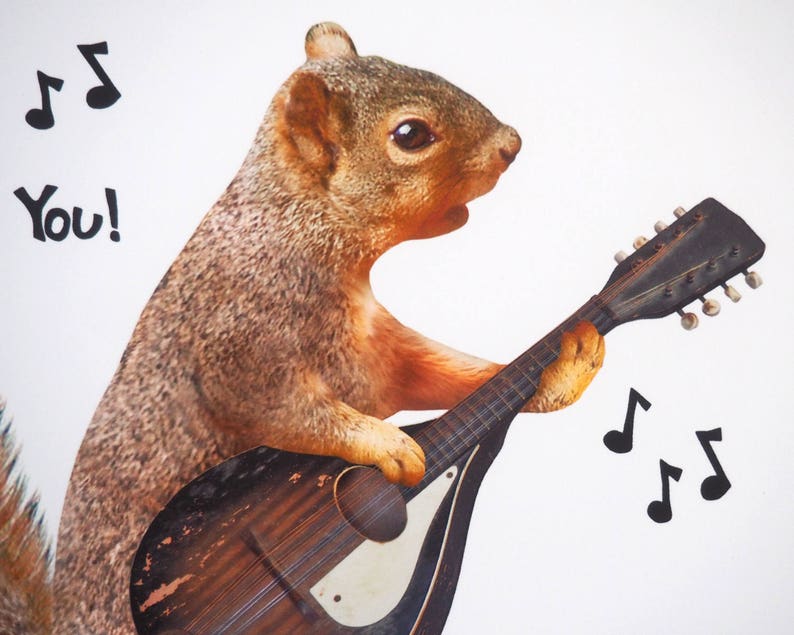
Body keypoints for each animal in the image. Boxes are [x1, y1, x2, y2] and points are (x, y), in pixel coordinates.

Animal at [0, 23, 604, 634]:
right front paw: (389, 444)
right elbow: (279, 407)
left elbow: (450, 377)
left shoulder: (373, 350)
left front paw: (562, 370)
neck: (296, 225)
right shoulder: (241, 338)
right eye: (410, 134)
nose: (512, 143)